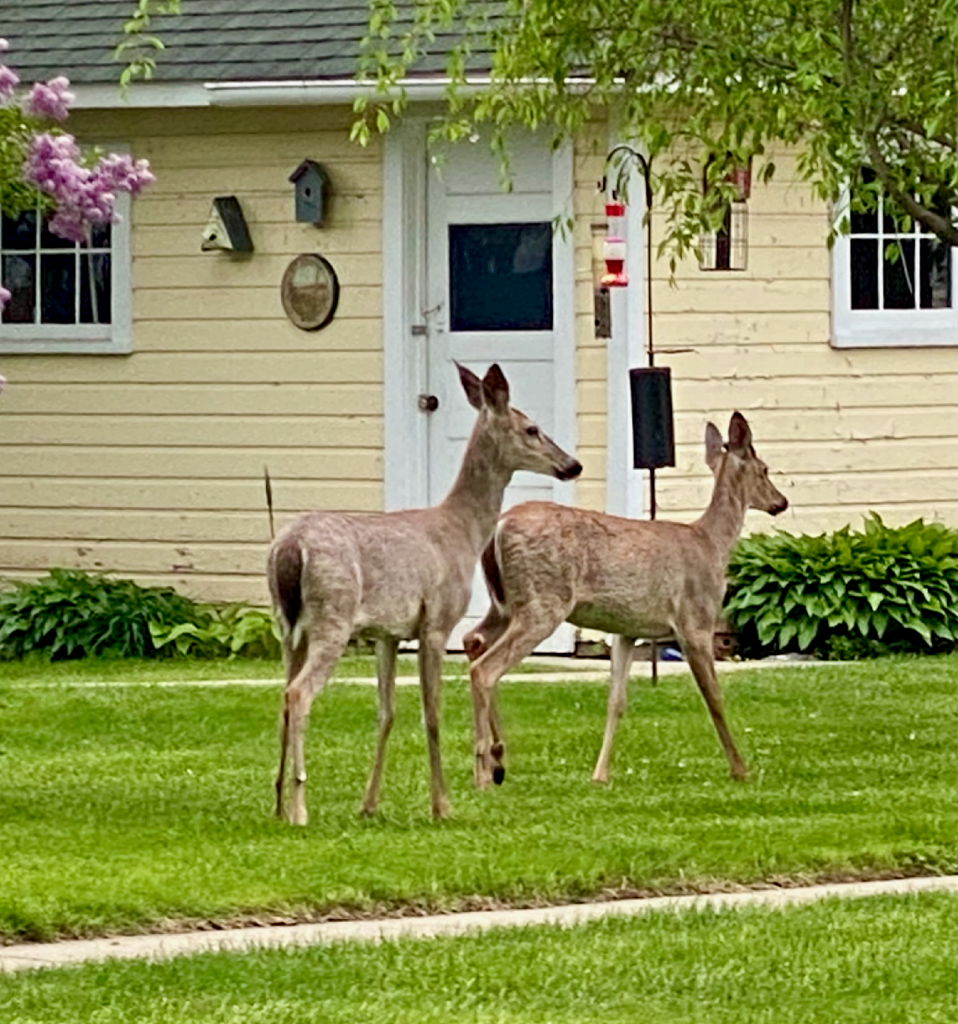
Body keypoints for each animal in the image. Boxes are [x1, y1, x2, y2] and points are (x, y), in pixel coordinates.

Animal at [270, 362, 585, 823]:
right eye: (532, 428)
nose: (572, 465)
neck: (460, 532)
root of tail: (290, 549)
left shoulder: (387, 633)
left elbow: (386, 713)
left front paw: (369, 804)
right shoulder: (436, 621)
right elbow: (432, 714)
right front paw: (442, 805)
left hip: (288, 627)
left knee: (283, 695)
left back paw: (277, 804)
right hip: (333, 616)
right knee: (299, 693)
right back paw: (299, 808)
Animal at [462, 411, 786, 786]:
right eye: (764, 469)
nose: (781, 502)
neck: (712, 544)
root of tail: (498, 527)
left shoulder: (626, 630)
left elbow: (616, 701)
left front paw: (600, 774)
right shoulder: (695, 620)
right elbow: (714, 697)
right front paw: (739, 768)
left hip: (503, 604)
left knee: (473, 640)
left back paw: (498, 760)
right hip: (542, 601)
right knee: (485, 669)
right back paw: (484, 772)